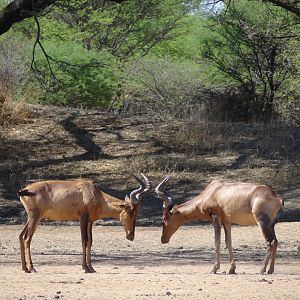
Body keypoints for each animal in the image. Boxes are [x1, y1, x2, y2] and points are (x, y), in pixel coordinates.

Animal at [17, 173, 151, 274]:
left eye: (137, 212)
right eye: (131, 211)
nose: (131, 236)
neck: (92, 191)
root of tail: (25, 190)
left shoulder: (90, 222)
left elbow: (90, 241)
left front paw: (91, 268)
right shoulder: (83, 219)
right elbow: (84, 240)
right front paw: (85, 268)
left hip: (31, 218)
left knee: (21, 236)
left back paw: (24, 268)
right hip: (35, 217)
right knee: (27, 238)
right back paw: (32, 268)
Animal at [155, 176, 284, 274]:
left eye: (165, 218)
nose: (163, 239)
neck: (212, 191)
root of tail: (276, 196)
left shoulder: (215, 216)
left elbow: (217, 240)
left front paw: (214, 269)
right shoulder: (226, 221)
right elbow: (228, 241)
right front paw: (232, 269)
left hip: (262, 222)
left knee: (270, 242)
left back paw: (262, 270)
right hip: (271, 225)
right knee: (276, 242)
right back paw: (270, 270)